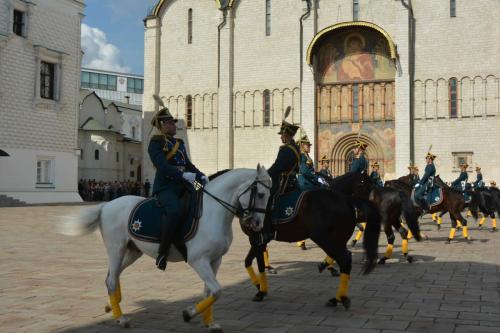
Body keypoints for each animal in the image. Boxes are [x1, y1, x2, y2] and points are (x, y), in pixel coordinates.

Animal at [63, 166, 274, 332]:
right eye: (260, 194)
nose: (257, 224)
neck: (213, 212)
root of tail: (106, 205)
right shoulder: (198, 260)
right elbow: (216, 291)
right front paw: (188, 313)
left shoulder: (215, 260)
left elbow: (209, 292)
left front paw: (209, 323)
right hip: (116, 249)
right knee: (112, 279)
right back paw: (121, 318)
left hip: (132, 252)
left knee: (111, 277)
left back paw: (111, 306)